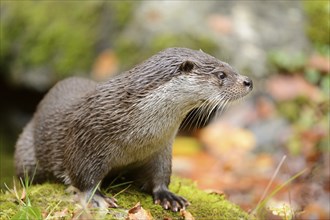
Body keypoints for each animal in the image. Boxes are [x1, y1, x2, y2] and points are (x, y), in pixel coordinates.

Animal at [14, 47, 253, 211]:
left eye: (230, 66)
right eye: (221, 75)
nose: (248, 81)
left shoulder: (161, 148)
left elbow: (160, 175)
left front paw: (168, 197)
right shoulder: (86, 138)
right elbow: (82, 175)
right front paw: (97, 197)